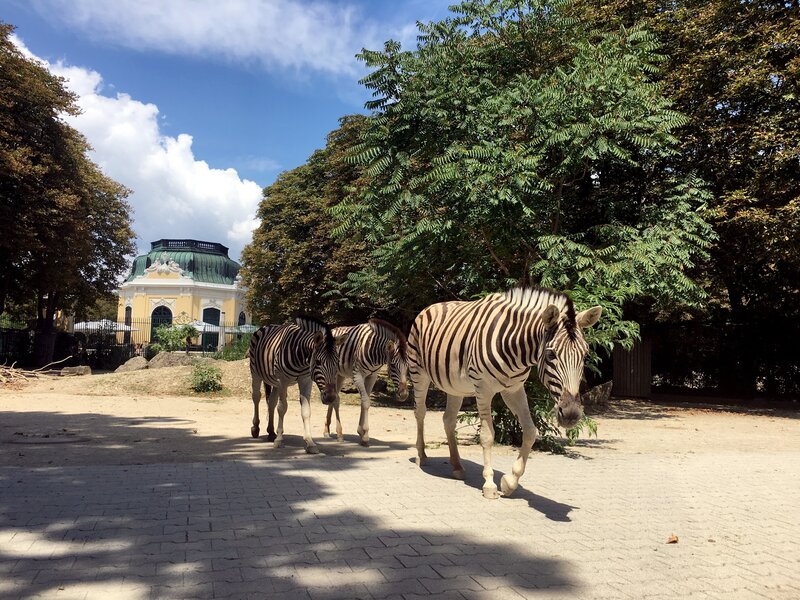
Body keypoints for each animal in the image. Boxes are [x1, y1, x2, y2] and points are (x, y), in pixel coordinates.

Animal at [248, 316, 349, 454]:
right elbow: (282, 408)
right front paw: (279, 440)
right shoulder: (283, 380)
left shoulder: (305, 380)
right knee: (256, 397)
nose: (330, 397)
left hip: (275, 382)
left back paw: (271, 432)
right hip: (256, 373)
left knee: (271, 402)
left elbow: (306, 411)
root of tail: (267, 325)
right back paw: (255, 428)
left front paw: (310, 442)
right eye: (318, 362)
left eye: (337, 362)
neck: (300, 356)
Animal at [407, 286, 602, 499]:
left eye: (585, 355)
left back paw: (457, 466)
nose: (571, 414)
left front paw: (510, 482)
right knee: (420, 412)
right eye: (551, 354)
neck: (515, 348)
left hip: (455, 386)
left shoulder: (514, 389)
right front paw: (489, 484)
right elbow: (487, 435)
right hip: (419, 373)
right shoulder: (483, 389)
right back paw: (422, 455)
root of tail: (434, 305)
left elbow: (530, 431)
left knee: (448, 420)